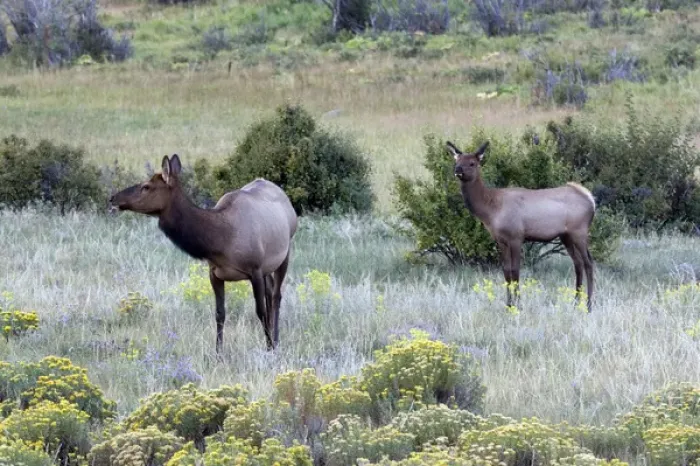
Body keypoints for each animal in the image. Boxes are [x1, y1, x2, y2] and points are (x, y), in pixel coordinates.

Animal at [109, 154, 298, 353]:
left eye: (146, 186)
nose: (113, 198)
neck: (221, 241)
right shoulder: (215, 273)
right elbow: (220, 313)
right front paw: (218, 351)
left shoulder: (255, 269)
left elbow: (260, 311)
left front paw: (269, 347)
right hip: (268, 266)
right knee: (270, 292)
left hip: (285, 252)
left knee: (276, 296)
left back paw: (276, 339)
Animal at [448, 141, 596, 311]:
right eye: (457, 161)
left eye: (472, 163)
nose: (457, 170)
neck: (491, 211)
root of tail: (591, 200)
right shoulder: (501, 240)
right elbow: (506, 270)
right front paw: (508, 305)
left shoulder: (516, 237)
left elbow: (515, 270)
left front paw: (518, 305)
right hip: (566, 236)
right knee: (578, 263)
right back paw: (575, 302)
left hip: (579, 231)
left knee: (588, 263)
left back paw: (588, 305)